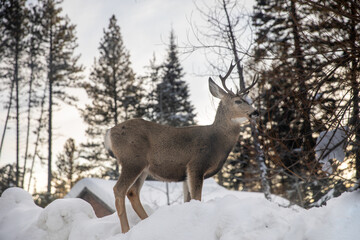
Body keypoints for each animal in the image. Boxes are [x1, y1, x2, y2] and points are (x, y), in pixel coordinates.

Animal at [104, 62, 258, 232]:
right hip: (132, 160)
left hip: (143, 167)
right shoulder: (196, 165)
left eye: (248, 100)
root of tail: (109, 132)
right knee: (119, 190)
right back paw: (126, 230)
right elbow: (197, 198)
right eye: (238, 101)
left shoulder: (185, 175)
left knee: (132, 192)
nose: (255, 112)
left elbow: (188, 200)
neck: (217, 141)